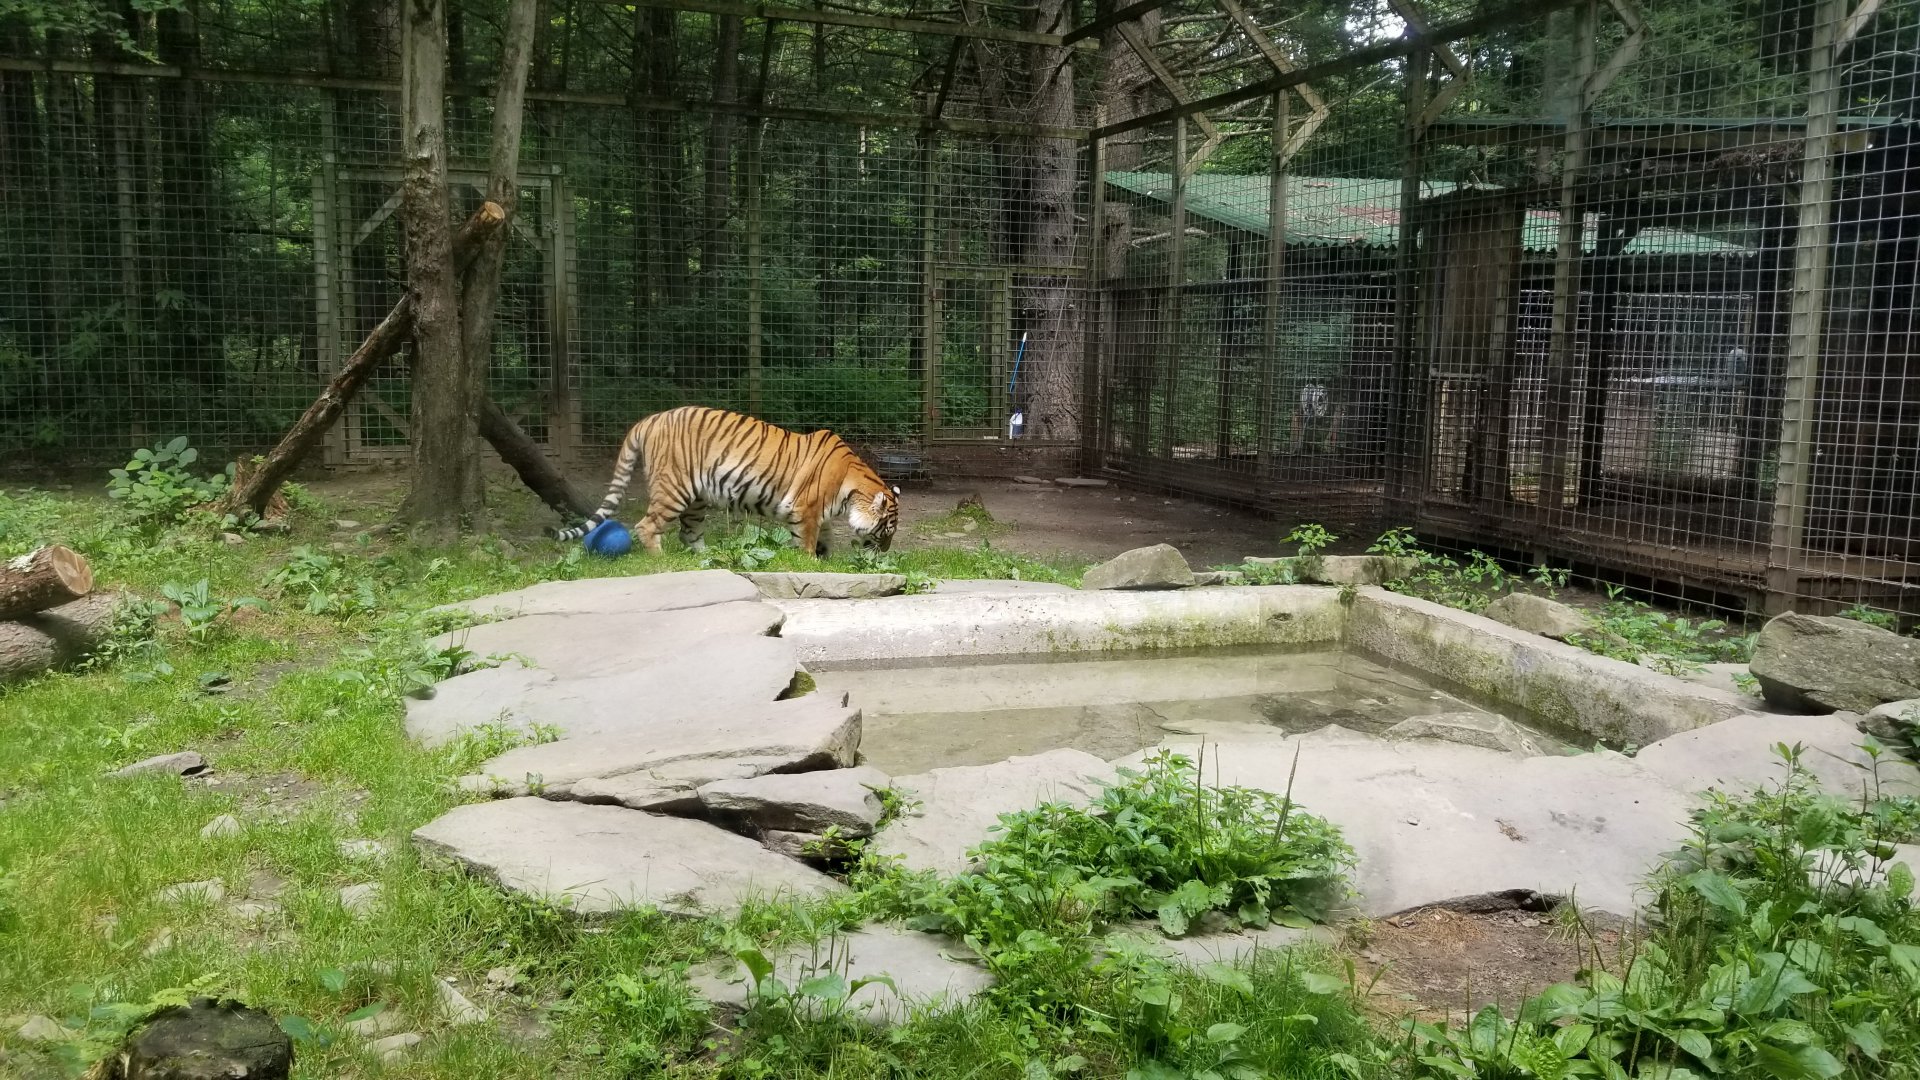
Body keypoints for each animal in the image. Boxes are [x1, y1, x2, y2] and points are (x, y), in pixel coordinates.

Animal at [553, 405, 900, 557]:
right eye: (886, 531)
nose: (884, 552)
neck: (851, 491)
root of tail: (649, 419)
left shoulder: (816, 515)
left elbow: (824, 541)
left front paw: (825, 561)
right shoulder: (806, 511)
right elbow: (806, 543)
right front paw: (809, 564)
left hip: (696, 500)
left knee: (689, 534)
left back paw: (707, 560)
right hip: (673, 489)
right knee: (647, 526)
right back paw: (661, 561)